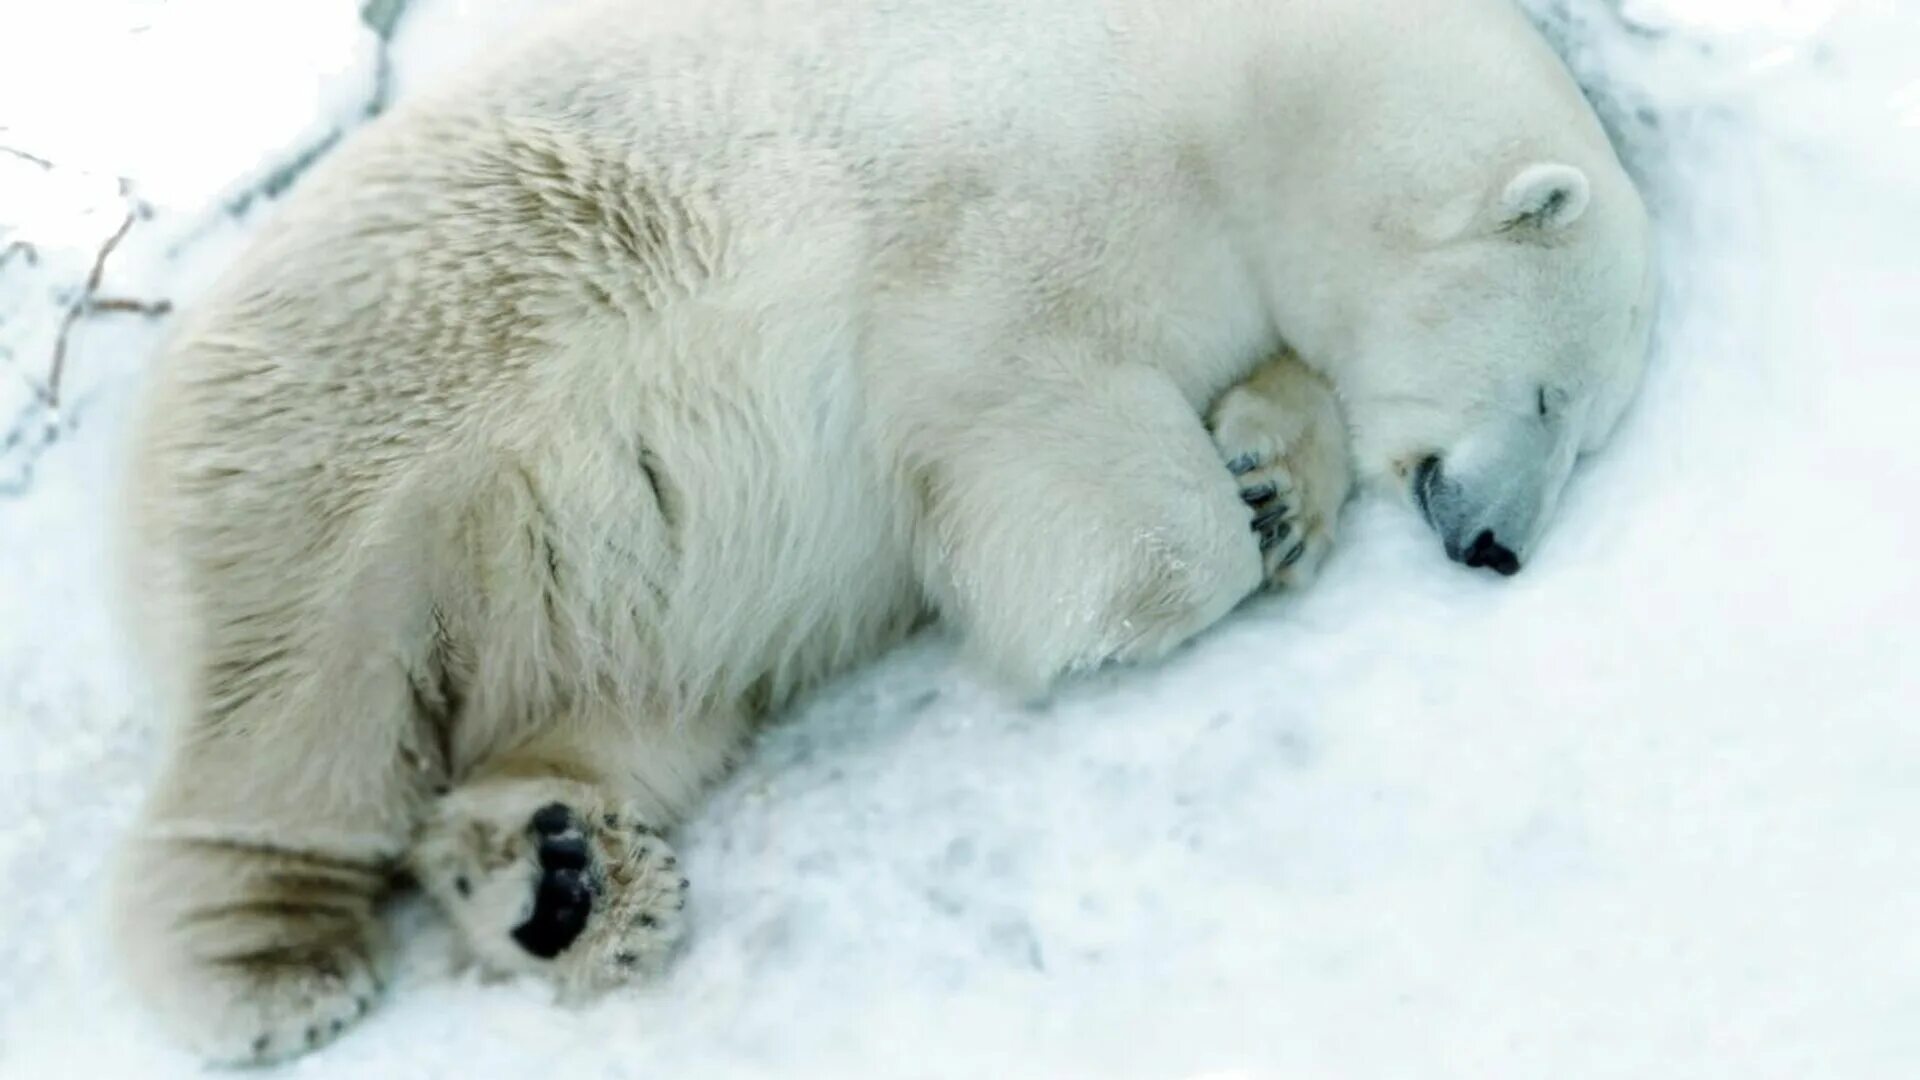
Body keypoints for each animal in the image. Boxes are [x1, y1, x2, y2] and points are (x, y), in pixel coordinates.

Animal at [116, 0, 1651, 1060]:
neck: (1245, 86)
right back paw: (273, 967)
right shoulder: (1020, 194)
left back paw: (561, 877)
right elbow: (1033, 414)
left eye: (1587, 427)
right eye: (1557, 397)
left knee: (623, 704)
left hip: (593, 590)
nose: (1500, 547)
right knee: (302, 688)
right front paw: (1146, 580)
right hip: (391, 405)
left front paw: (1274, 483)